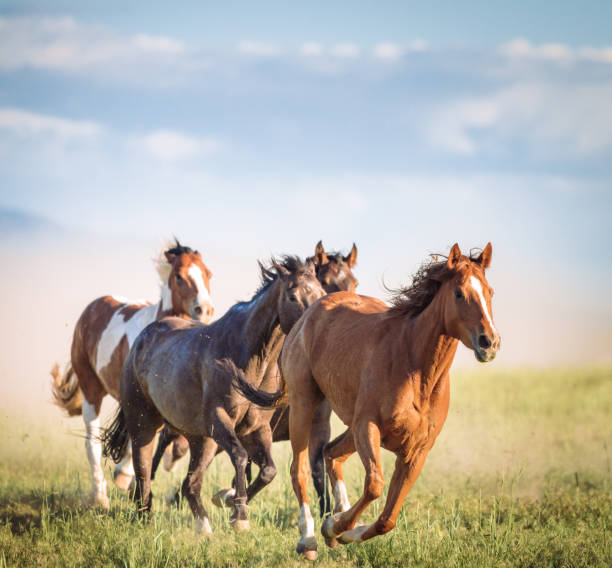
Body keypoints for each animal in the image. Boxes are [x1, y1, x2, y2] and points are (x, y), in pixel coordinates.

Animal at [50, 240, 214, 510]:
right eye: (179, 276)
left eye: (208, 274)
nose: (205, 309)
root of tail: (94, 306)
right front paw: (126, 478)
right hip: (91, 388)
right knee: (93, 442)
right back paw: (101, 496)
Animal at [103, 255, 328, 536]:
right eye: (293, 295)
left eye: (322, 292)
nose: (315, 327)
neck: (245, 357)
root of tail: (141, 340)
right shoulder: (219, 421)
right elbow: (241, 457)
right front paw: (239, 515)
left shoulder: (257, 429)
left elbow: (268, 471)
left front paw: (230, 502)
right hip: (145, 424)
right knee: (144, 471)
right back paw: (145, 518)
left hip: (200, 441)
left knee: (190, 484)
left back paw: (203, 526)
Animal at [232, 244, 500, 560]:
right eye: (459, 293)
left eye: (489, 291)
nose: (489, 342)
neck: (415, 370)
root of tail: (309, 315)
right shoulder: (367, 427)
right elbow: (374, 485)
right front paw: (332, 526)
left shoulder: (417, 451)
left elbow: (388, 519)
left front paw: (342, 529)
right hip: (305, 404)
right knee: (300, 469)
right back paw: (308, 539)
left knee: (330, 453)